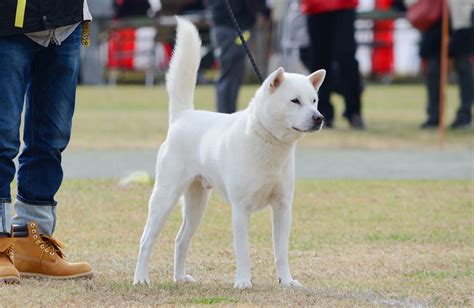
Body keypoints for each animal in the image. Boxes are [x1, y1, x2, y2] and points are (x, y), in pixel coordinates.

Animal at [133, 18, 326, 290]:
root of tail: (183, 116)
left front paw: (287, 281)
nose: (319, 118)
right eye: (295, 101)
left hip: (197, 204)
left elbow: (281, 252)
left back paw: (180, 277)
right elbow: (243, 251)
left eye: (314, 100)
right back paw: (141, 278)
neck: (268, 142)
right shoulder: (240, 209)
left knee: (180, 240)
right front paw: (243, 282)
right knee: (146, 240)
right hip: (164, 198)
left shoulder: (282, 207)